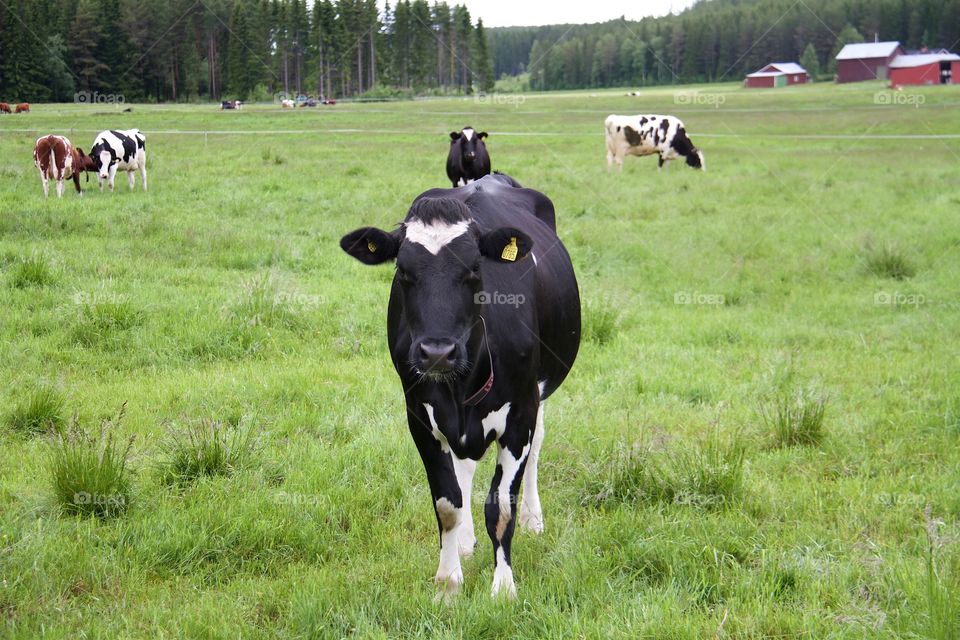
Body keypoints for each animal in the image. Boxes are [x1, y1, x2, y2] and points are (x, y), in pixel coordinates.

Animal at [342, 171, 580, 600]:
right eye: (404, 272)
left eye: (473, 270)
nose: (437, 352)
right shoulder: (420, 418)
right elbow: (447, 504)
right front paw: (448, 582)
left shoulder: (520, 415)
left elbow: (501, 507)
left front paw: (503, 588)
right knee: (464, 466)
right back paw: (467, 542)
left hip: (539, 394)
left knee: (536, 448)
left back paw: (534, 519)